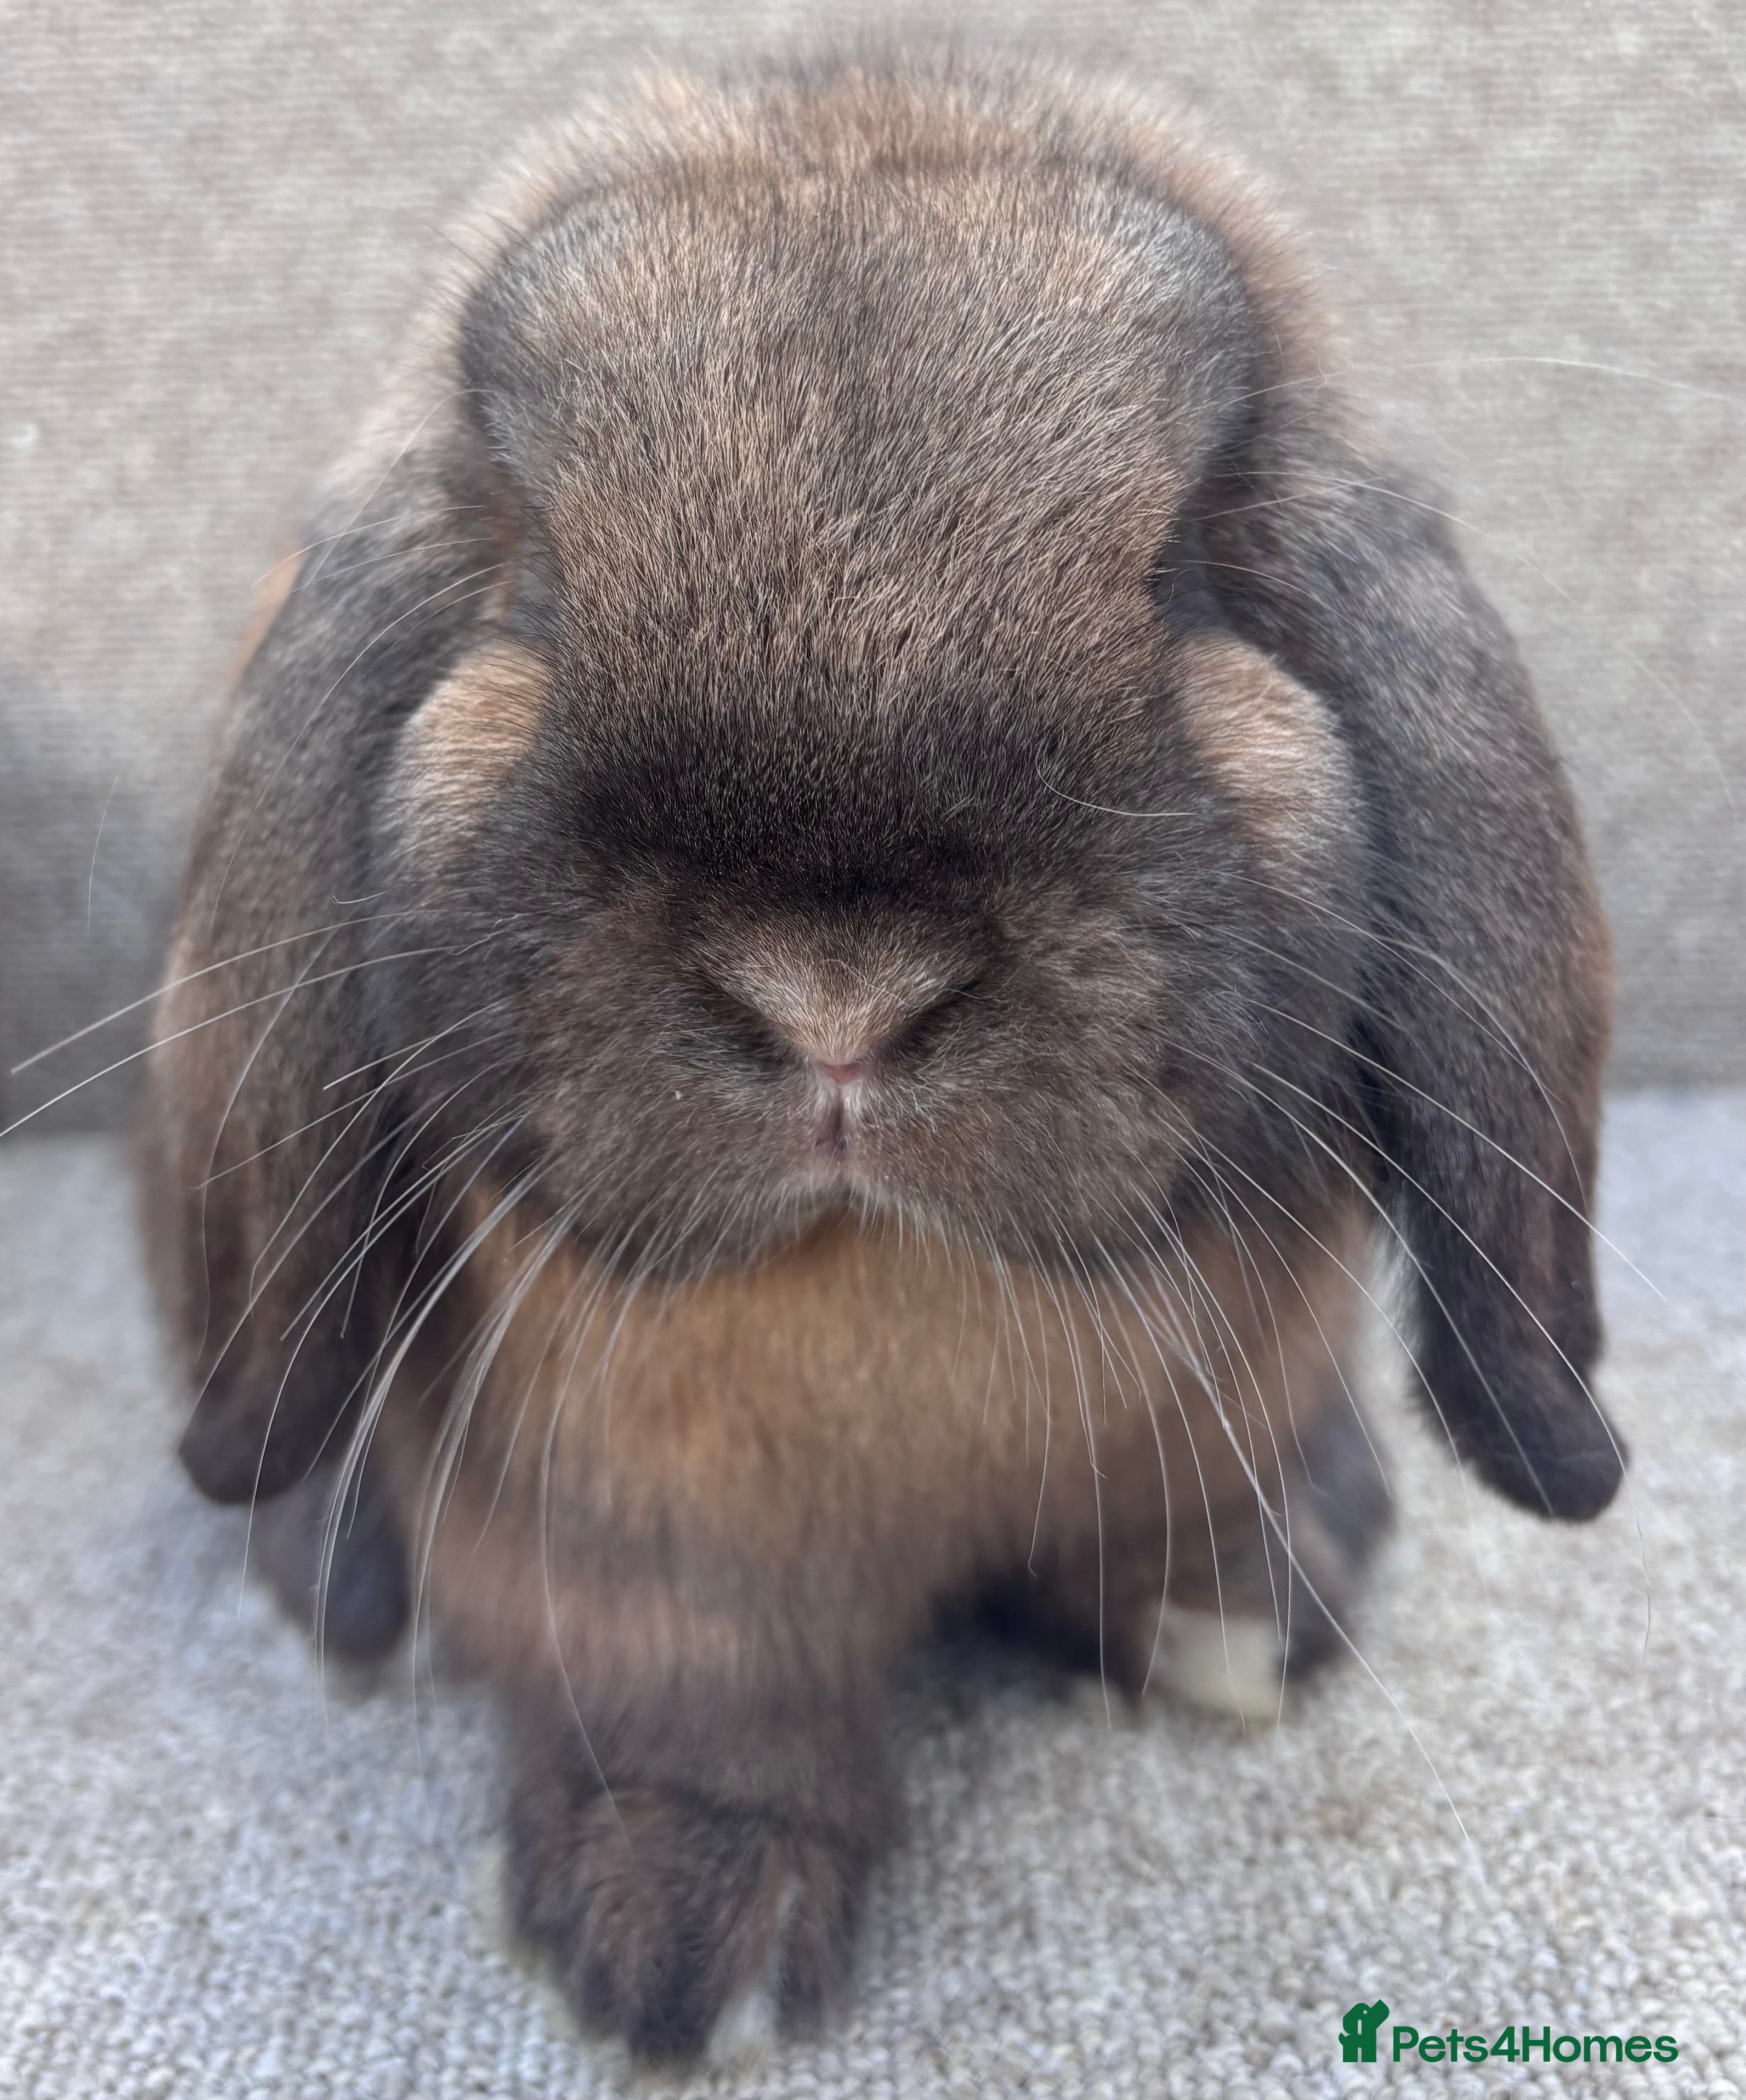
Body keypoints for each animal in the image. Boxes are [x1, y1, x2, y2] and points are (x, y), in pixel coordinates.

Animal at [138, 48, 1622, 2061]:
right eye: (530, 587)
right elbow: (699, 1700)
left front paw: (1229, 1631)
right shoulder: (637, 1561)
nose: (835, 1001)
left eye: (1187, 572)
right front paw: (686, 1940)